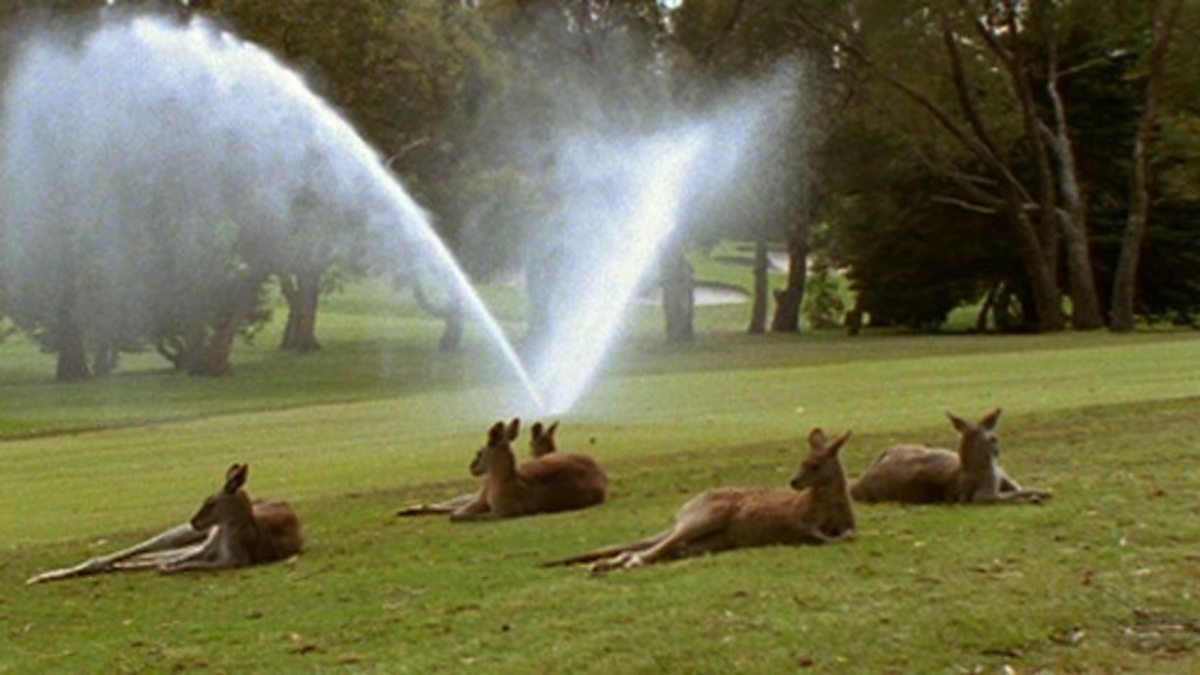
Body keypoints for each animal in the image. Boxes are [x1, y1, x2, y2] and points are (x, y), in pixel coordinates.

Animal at [27, 463, 303, 584]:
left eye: (210, 502)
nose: (195, 521)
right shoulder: (209, 547)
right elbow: (176, 560)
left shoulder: (232, 560)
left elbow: (184, 563)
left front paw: (167, 568)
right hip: (182, 535)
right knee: (147, 550)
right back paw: (45, 575)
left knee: (152, 556)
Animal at [544, 428, 856, 572]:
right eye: (803, 463)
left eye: (814, 465)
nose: (793, 483)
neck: (829, 499)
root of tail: (683, 513)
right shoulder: (799, 521)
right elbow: (821, 536)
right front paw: (835, 538)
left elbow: (849, 533)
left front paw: (842, 535)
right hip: (709, 515)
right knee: (655, 549)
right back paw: (622, 564)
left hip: (713, 539)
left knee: (666, 548)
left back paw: (611, 564)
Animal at [849, 408, 1051, 505]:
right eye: (994, 438)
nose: (998, 452)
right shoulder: (980, 497)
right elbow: (1008, 495)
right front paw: (1040, 495)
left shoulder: (1002, 478)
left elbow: (1018, 488)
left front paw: (1040, 493)